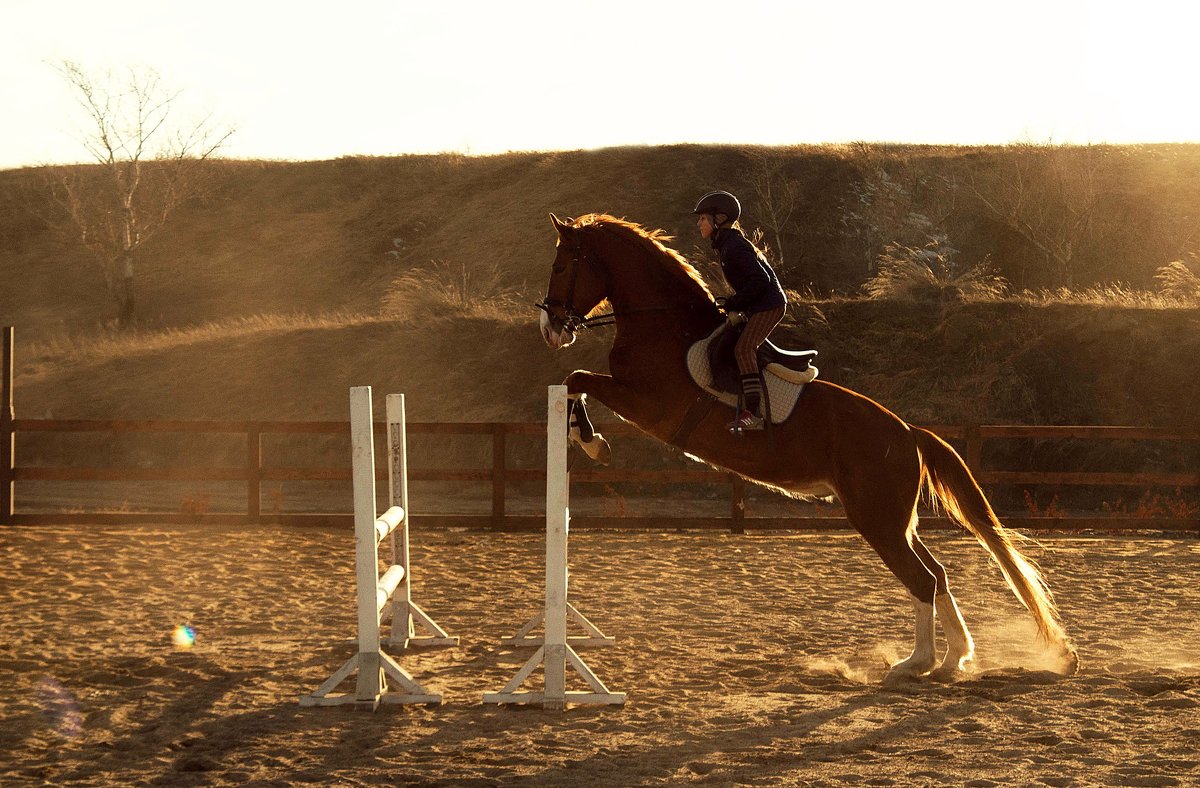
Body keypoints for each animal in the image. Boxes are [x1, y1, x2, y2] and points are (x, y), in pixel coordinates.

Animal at [535, 212, 1080, 681]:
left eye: (561, 266)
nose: (550, 328)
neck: (665, 324)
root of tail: (908, 433)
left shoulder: (647, 403)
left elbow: (577, 377)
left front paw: (592, 443)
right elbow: (575, 380)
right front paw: (587, 437)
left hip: (876, 518)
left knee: (922, 580)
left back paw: (916, 664)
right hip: (894, 519)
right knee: (938, 574)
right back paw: (952, 661)